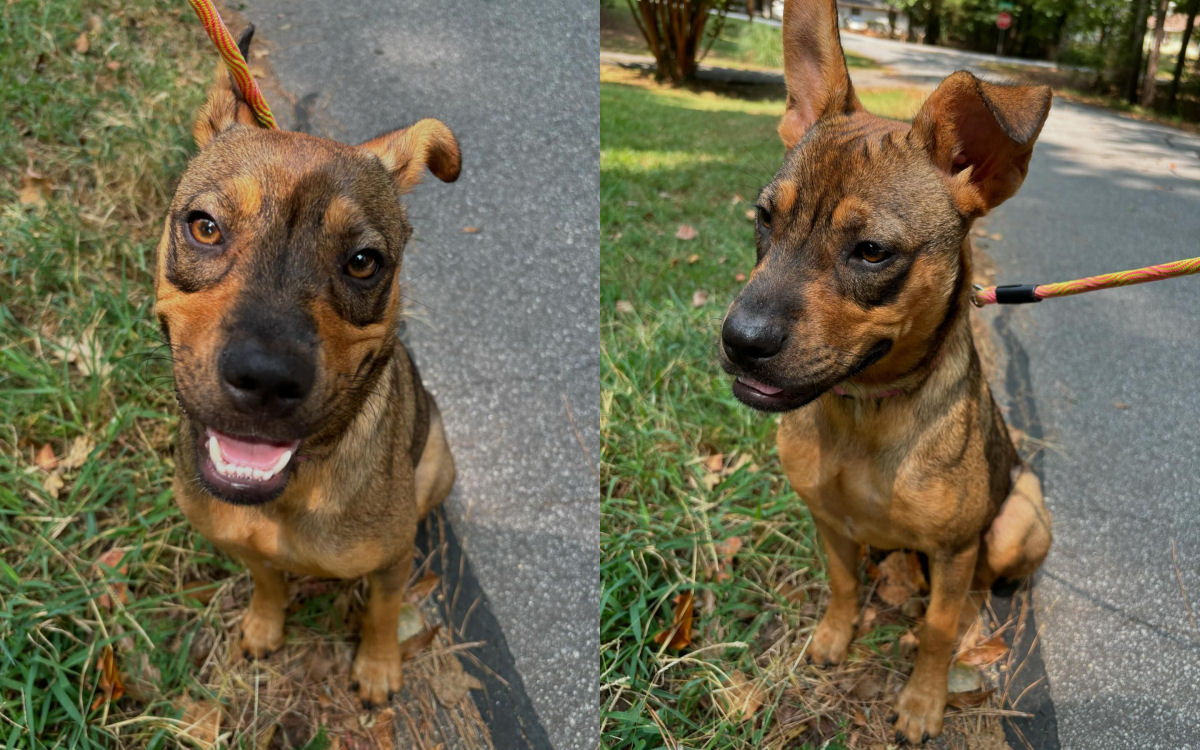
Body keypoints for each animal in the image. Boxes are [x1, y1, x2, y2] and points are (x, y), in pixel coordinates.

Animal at [153, 29, 458, 705]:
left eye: (364, 261)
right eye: (205, 227)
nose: (266, 378)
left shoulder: (391, 560)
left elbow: (382, 610)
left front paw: (378, 665)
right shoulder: (243, 544)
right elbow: (266, 580)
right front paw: (266, 626)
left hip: (437, 463)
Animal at [720, 0, 1051, 739]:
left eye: (871, 251)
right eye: (764, 217)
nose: (739, 340)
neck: (864, 413)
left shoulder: (954, 550)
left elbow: (936, 630)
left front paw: (924, 701)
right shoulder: (825, 518)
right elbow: (843, 584)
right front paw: (833, 637)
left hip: (1018, 519)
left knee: (979, 583)